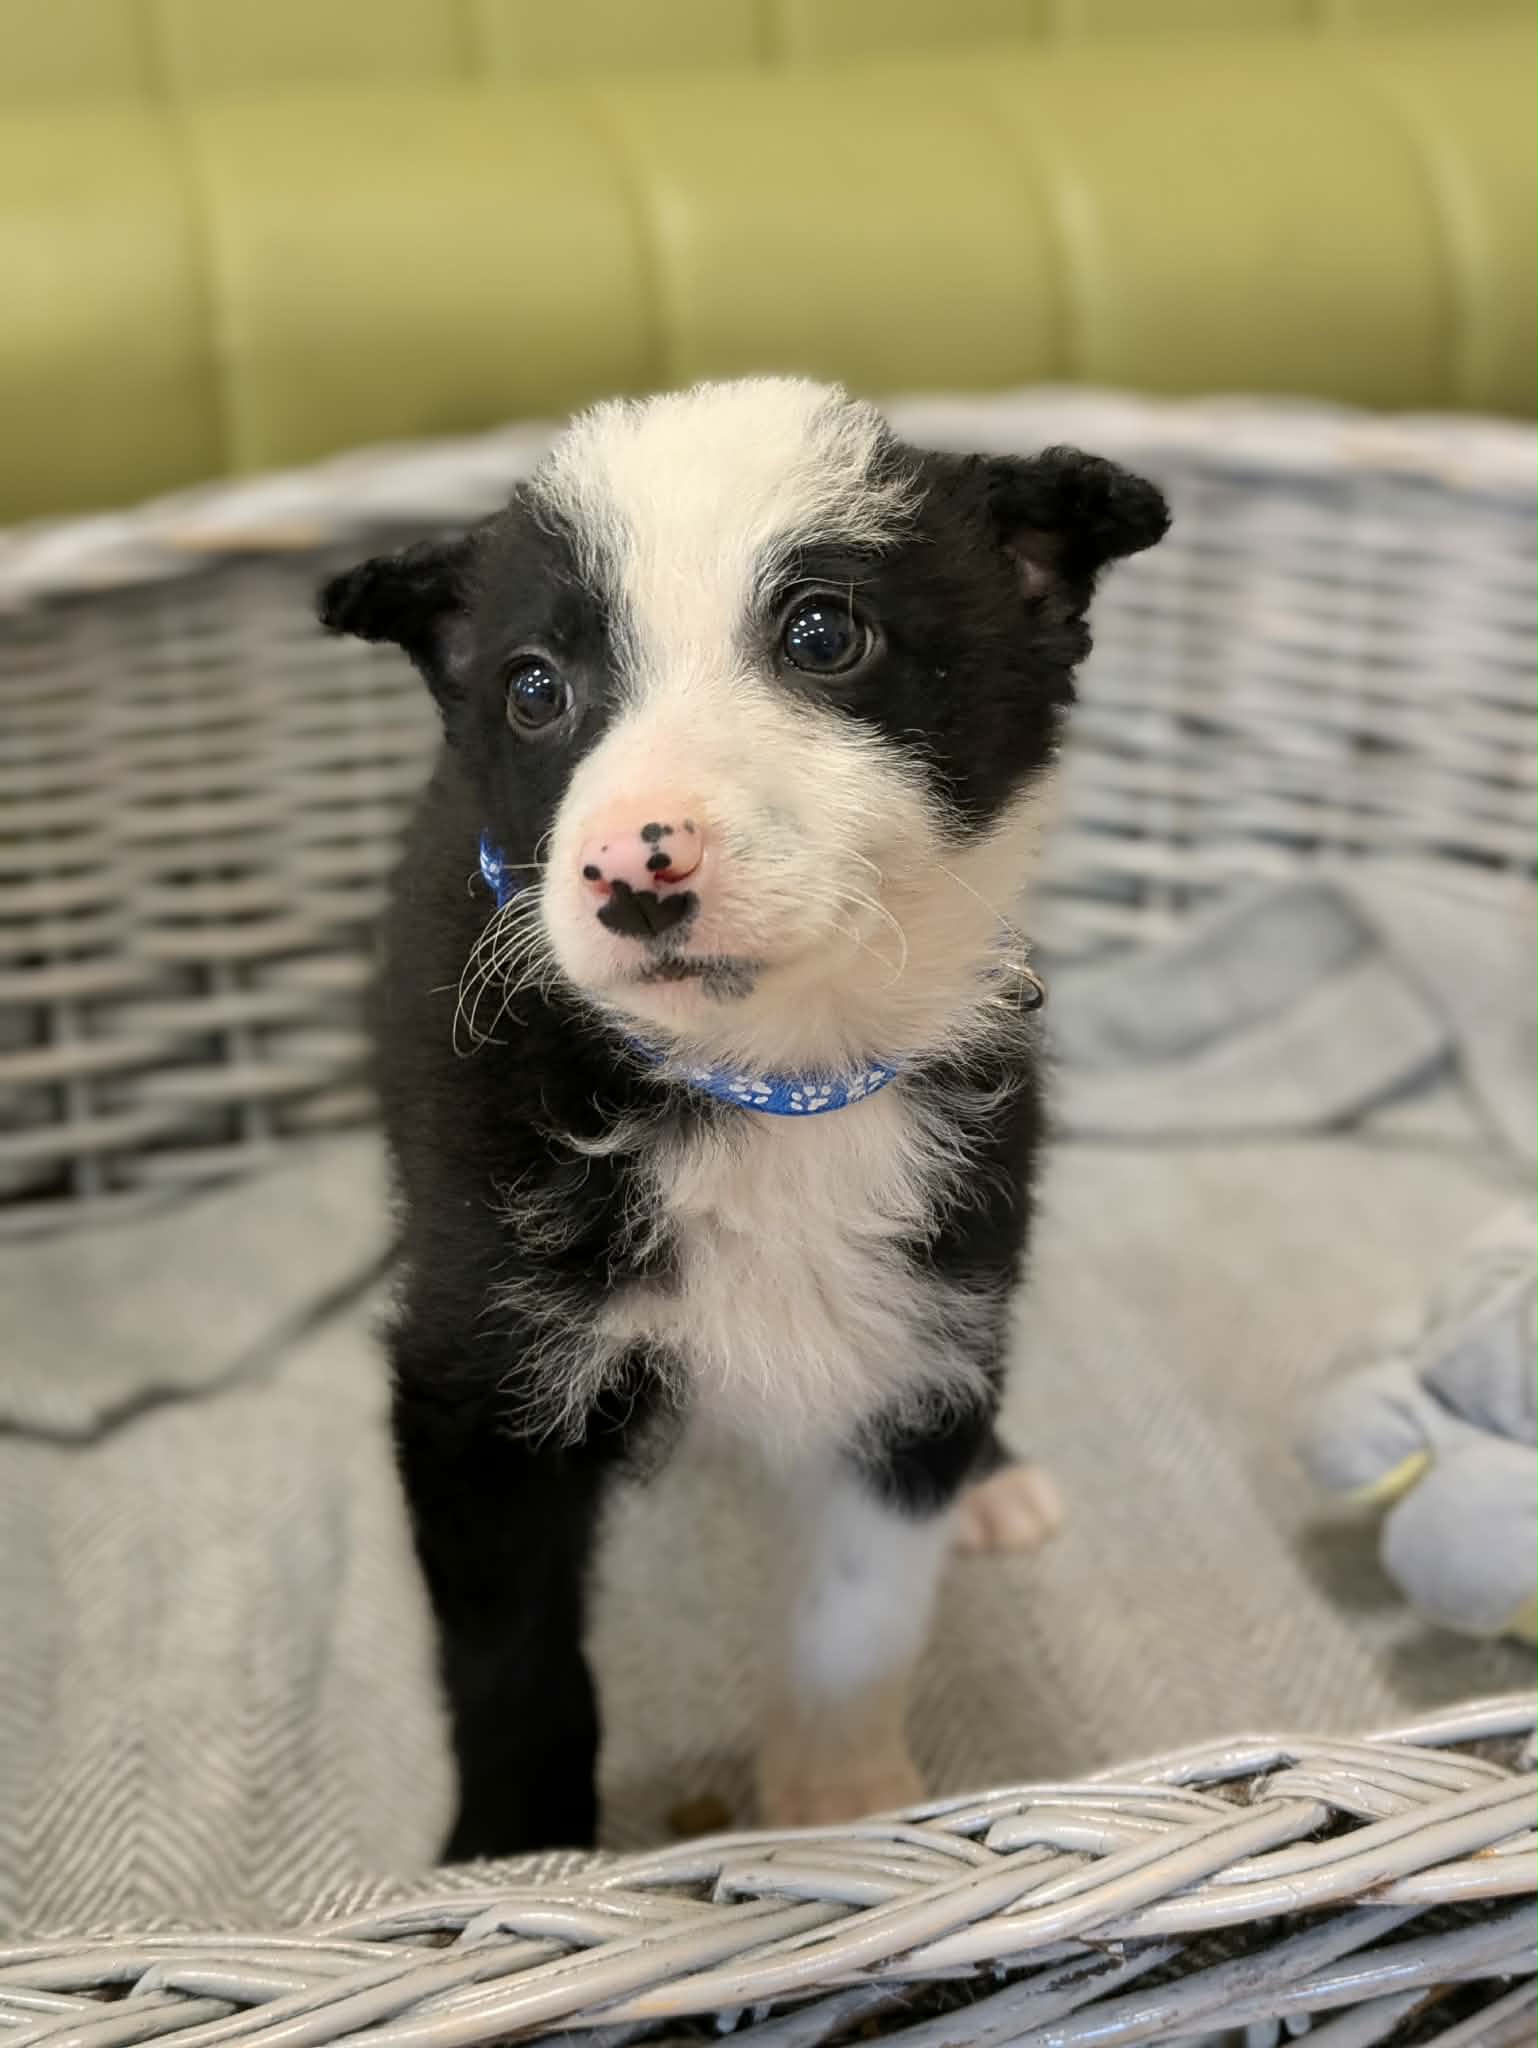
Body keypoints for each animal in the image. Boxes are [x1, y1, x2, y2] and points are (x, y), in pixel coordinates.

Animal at [320, 378, 1167, 1859]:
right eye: (534, 687)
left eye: (821, 633)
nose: (629, 868)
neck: (762, 1079)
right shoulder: (477, 1377)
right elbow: (509, 1655)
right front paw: (512, 1855)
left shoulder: (927, 1293)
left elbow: (860, 1604)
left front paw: (842, 1807)